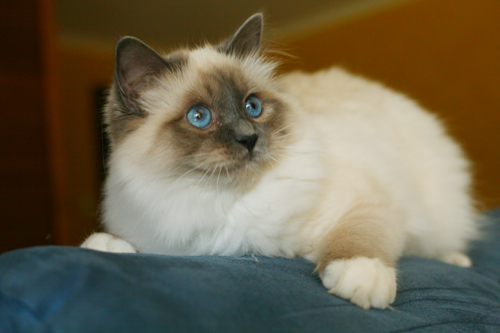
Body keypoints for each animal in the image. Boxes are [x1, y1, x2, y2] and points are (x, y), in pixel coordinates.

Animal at [81, 13, 476, 308]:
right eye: (199, 117)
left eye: (252, 107)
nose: (249, 139)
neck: (228, 202)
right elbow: (123, 243)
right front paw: (105, 246)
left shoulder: (363, 202)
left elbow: (358, 241)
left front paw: (360, 277)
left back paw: (458, 260)